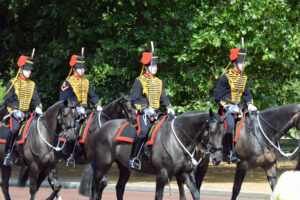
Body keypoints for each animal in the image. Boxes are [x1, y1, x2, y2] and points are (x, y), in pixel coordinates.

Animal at [81, 110, 226, 199]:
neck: (176, 139)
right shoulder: (162, 175)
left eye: (223, 133)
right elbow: (158, 196)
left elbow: (195, 193)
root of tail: (103, 127)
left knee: (118, 187)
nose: (218, 159)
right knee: (96, 185)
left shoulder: (184, 173)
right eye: (212, 133)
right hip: (102, 164)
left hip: (124, 167)